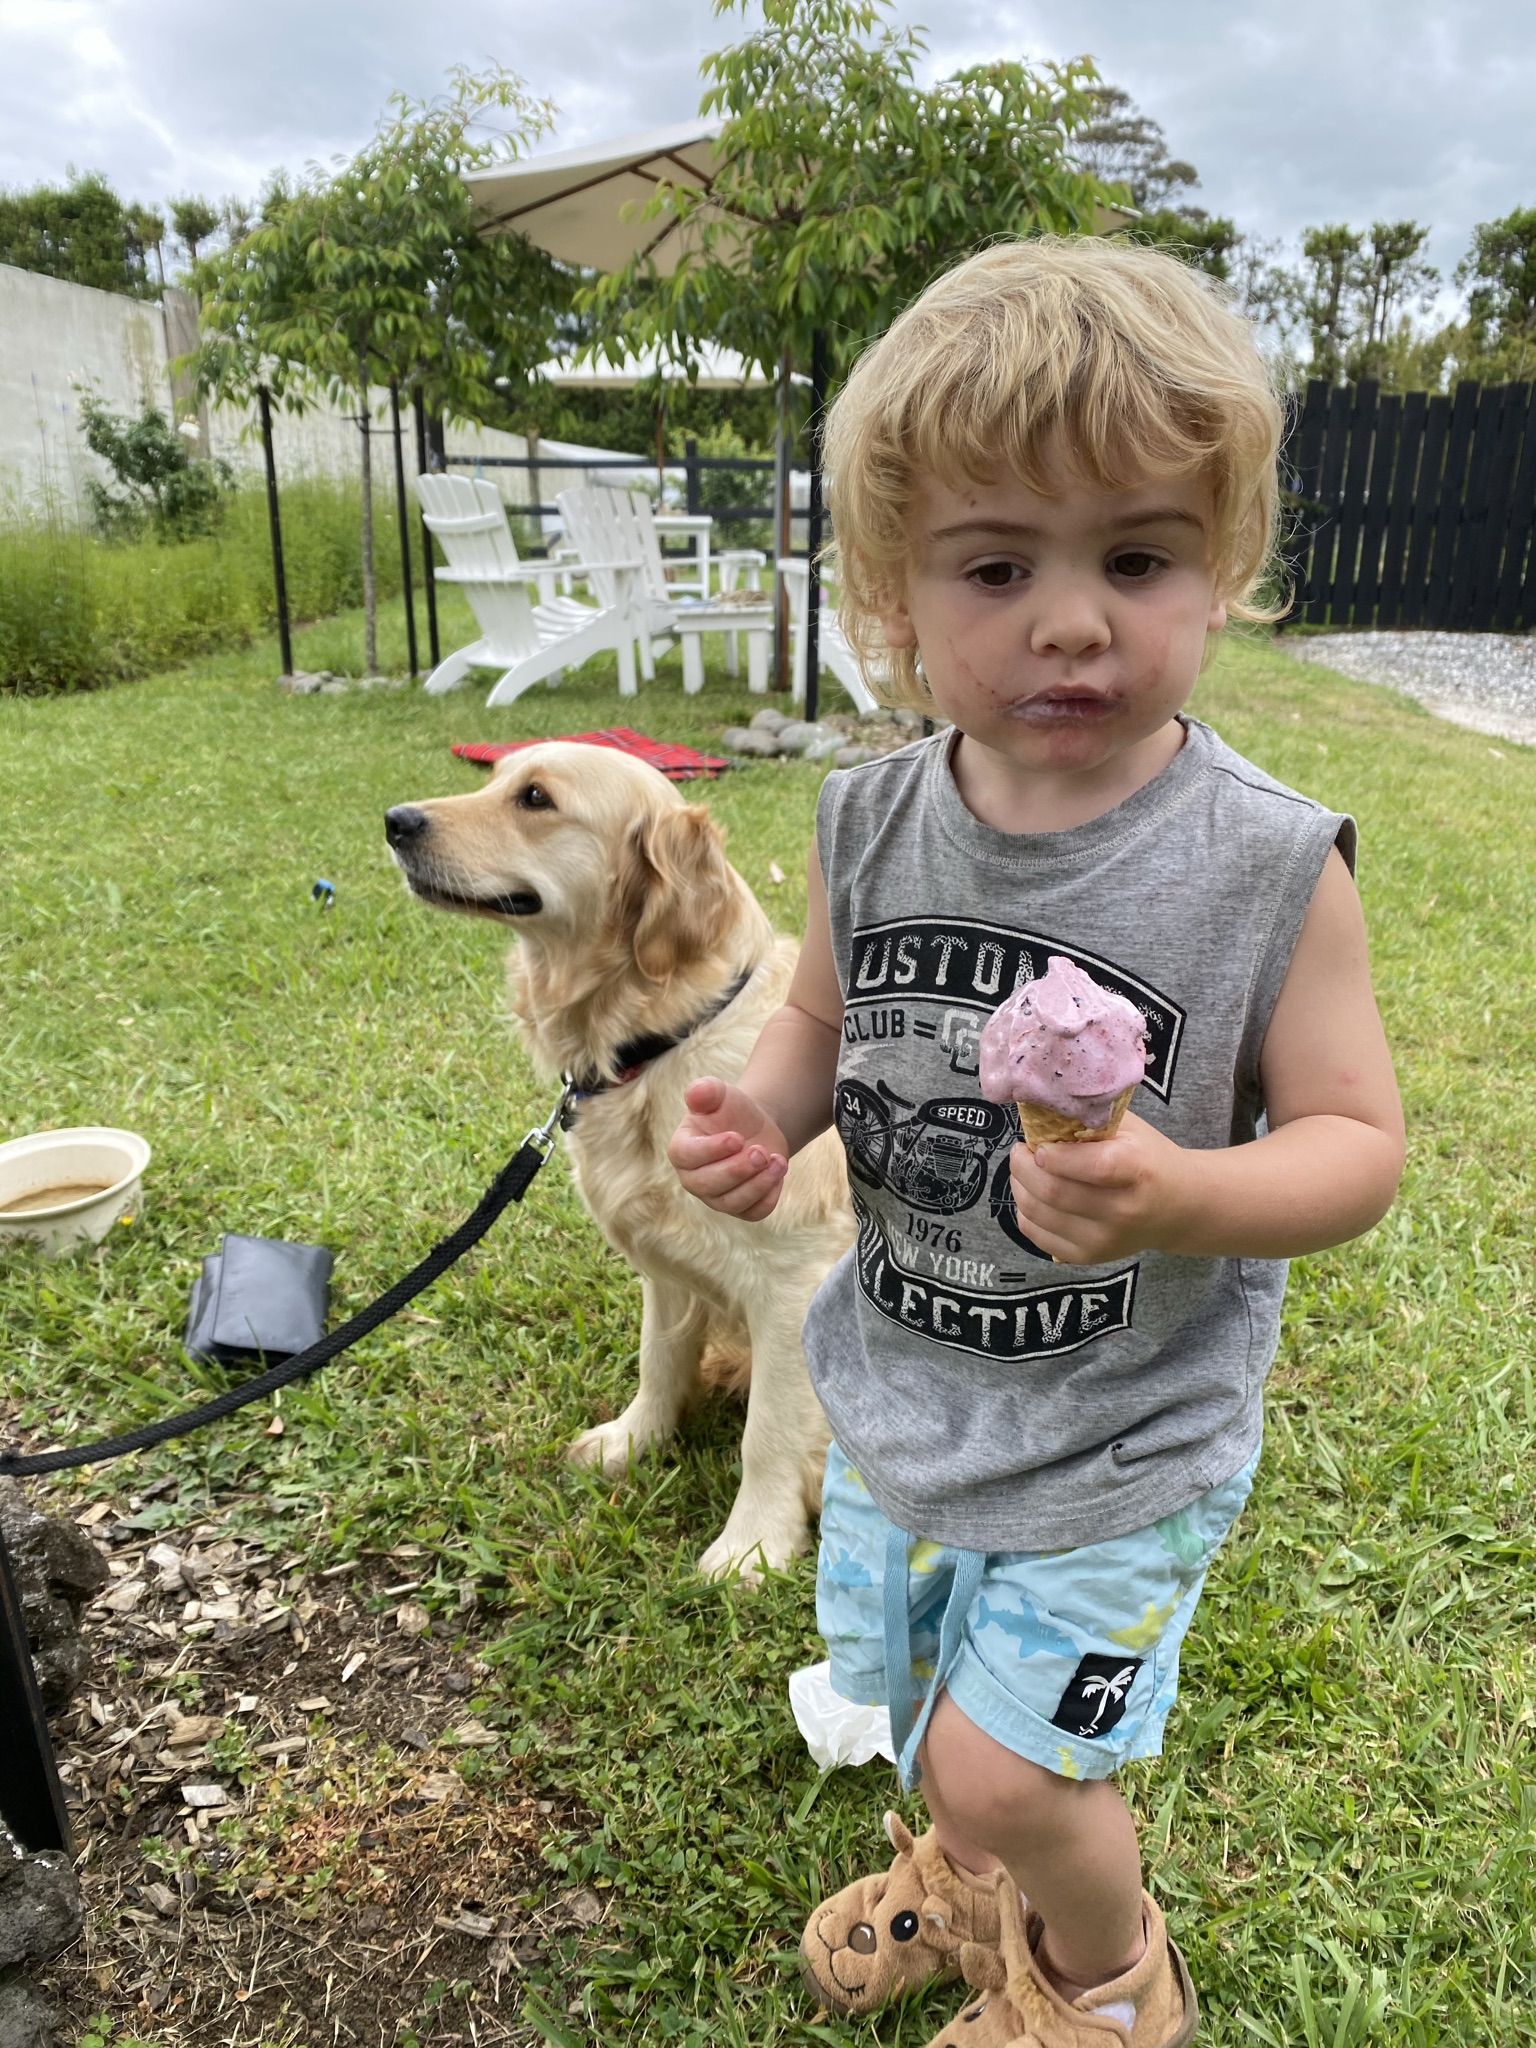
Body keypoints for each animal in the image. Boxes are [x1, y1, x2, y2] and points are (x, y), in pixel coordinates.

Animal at [385, 745, 856, 1572]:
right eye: (493, 776)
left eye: (535, 799)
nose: (395, 821)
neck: (663, 1038)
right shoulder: (667, 1268)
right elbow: (657, 1362)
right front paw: (632, 1444)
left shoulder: (793, 1277)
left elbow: (769, 1431)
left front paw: (753, 1545)